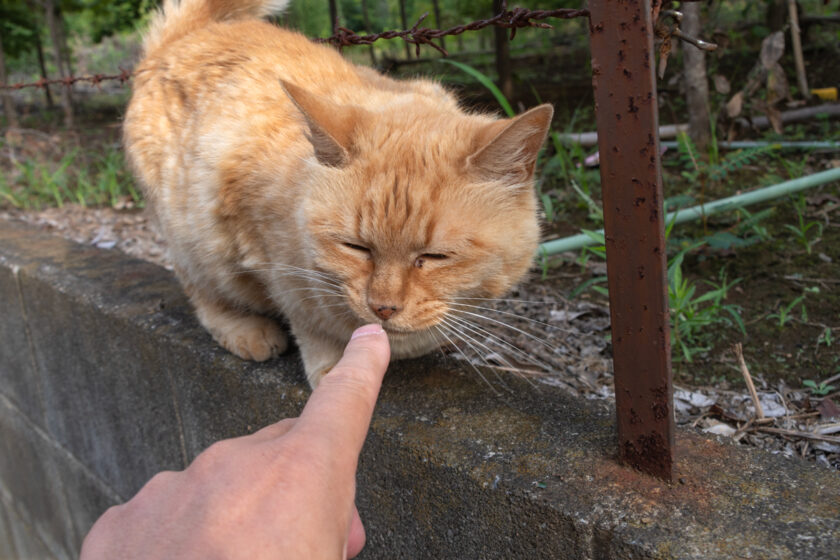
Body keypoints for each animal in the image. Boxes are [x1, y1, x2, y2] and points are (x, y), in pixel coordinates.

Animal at [124, 0, 556, 388]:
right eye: (356, 247)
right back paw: (243, 329)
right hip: (192, 237)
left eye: (435, 257)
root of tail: (190, 33)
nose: (383, 307)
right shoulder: (271, 255)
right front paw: (337, 366)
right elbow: (310, 318)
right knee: (203, 292)